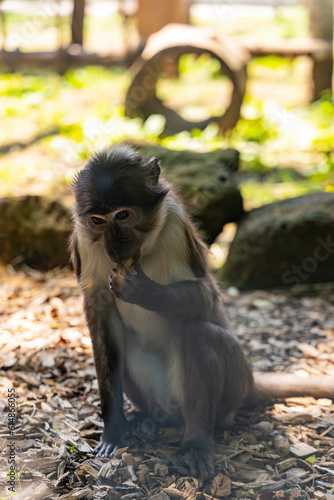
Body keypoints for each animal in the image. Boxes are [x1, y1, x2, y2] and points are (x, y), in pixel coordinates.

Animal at [70, 145, 334, 480]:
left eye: (123, 215)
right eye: (98, 220)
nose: (115, 246)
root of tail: (250, 381)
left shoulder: (175, 222)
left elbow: (205, 295)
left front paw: (142, 291)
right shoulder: (85, 239)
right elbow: (101, 314)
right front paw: (114, 430)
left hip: (235, 383)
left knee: (199, 332)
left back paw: (197, 443)